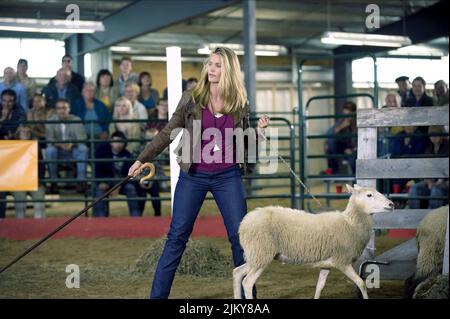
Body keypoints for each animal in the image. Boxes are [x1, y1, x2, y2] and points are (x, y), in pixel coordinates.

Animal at [234, 185, 396, 300]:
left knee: (237, 272)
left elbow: (320, 287)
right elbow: (361, 283)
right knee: (247, 282)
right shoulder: (343, 262)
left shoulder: (327, 264)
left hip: (256, 255)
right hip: (262, 253)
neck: (350, 223)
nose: (392, 204)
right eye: (369, 195)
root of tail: (244, 222)